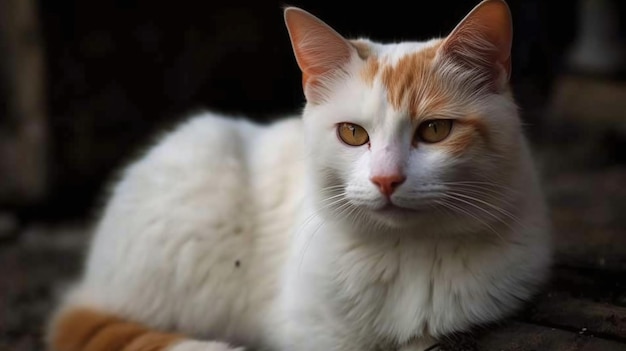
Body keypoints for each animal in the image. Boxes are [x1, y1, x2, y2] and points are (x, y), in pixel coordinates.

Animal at [46, 0, 548, 351]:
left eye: (435, 130)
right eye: (352, 133)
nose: (386, 180)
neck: (408, 254)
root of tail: (90, 283)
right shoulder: (310, 332)